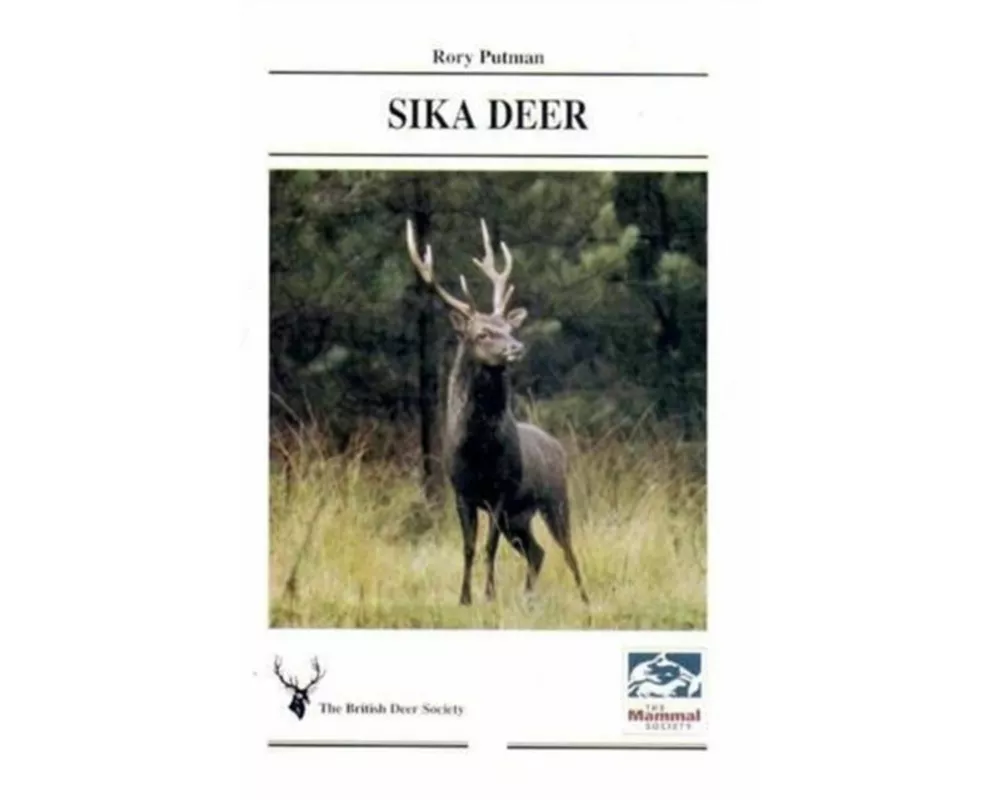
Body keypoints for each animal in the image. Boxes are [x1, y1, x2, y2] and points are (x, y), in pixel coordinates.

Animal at [405, 218, 589, 607]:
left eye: (508, 327)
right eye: (482, 333)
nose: (516, 347)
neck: (479, 451)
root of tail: (556, 445)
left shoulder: (501, 490)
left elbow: (488, 548)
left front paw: (488, 595)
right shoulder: (462, 492)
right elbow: (469, 548)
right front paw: (465, 597)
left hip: (554, 498)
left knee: (567, 550)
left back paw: (585, 599)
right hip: (518, 518)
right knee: (537, 552)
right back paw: (528, 597)